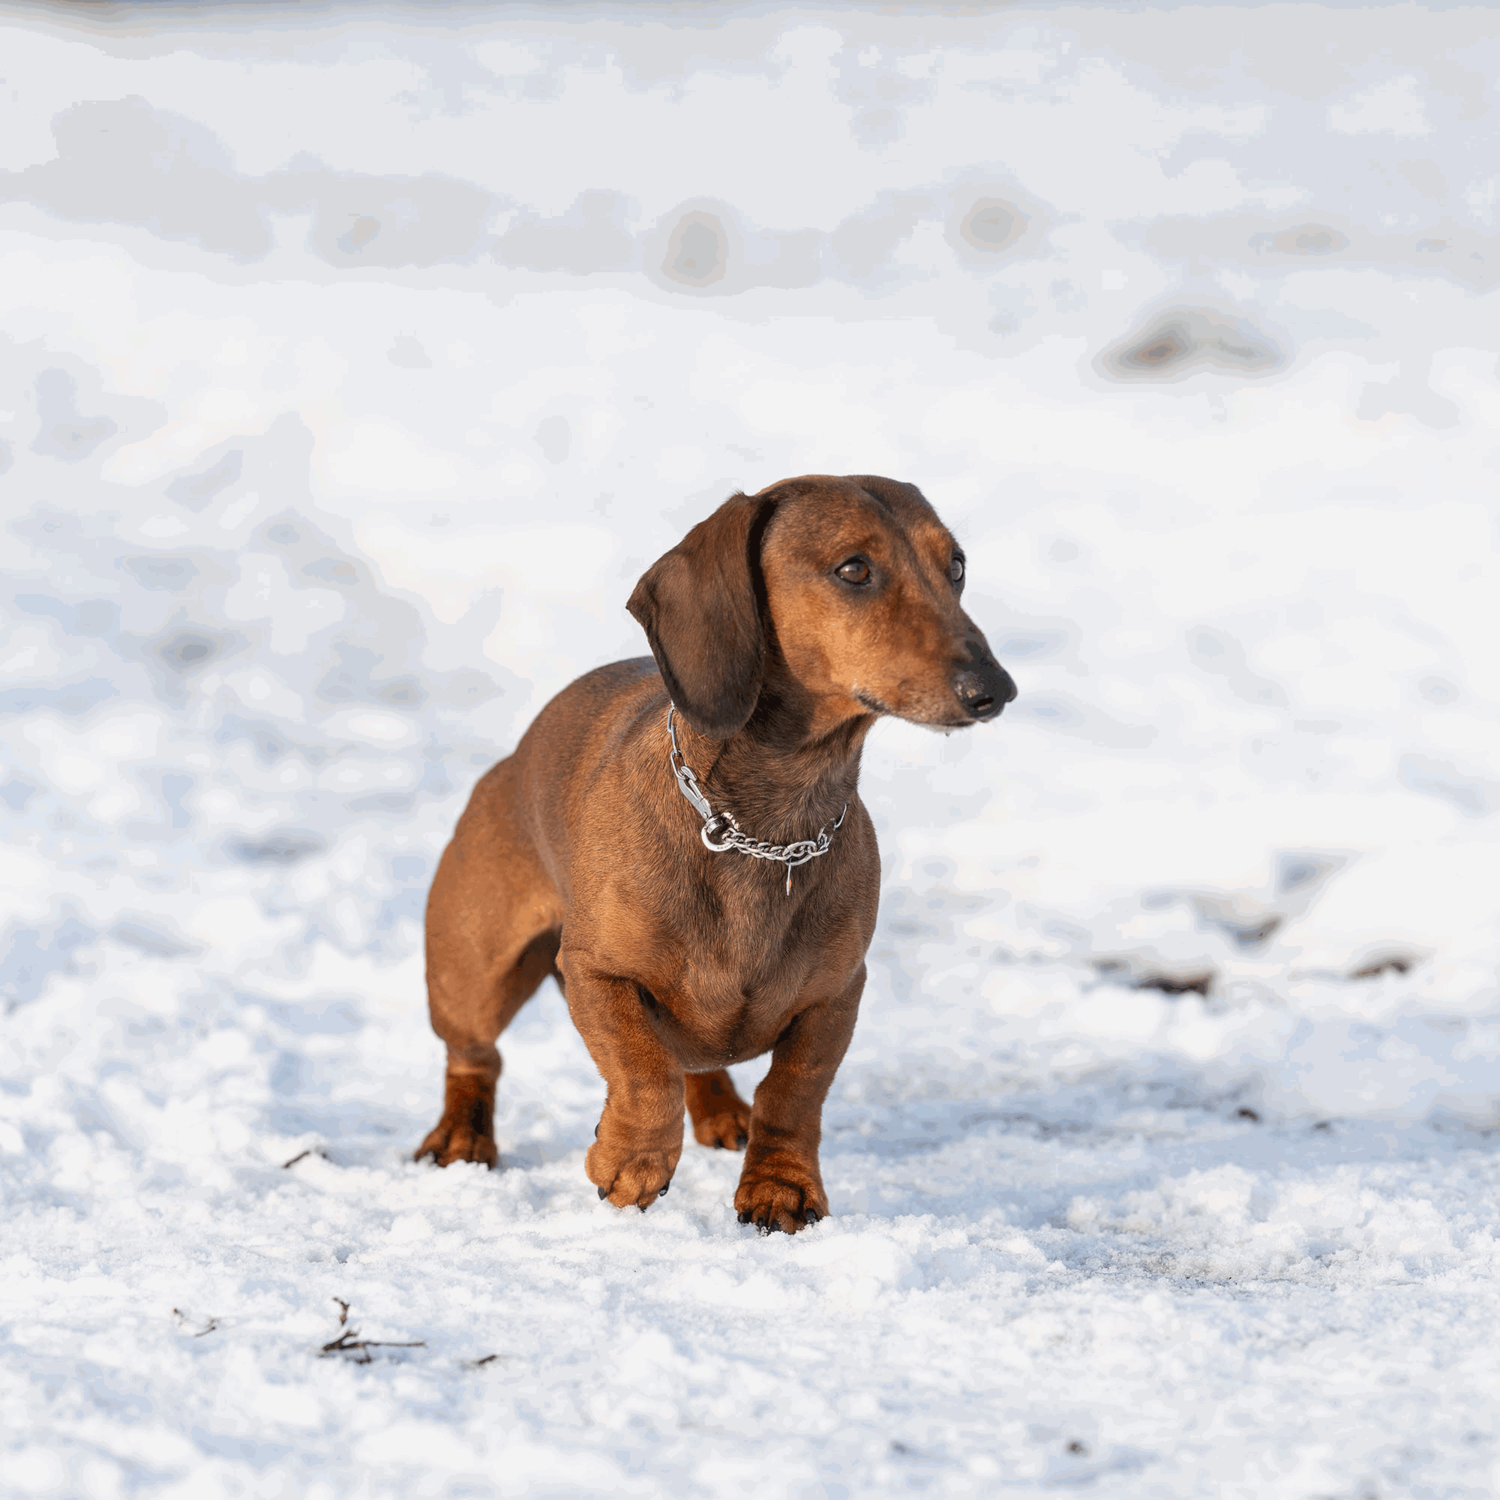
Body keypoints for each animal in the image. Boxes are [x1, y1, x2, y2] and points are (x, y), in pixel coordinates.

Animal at [417, 477, 1014, 1230]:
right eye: (854, 568)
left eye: (956, 566)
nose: (995, 689)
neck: (770, 827)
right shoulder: (594, 972)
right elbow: (643, 1073)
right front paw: (630, 1161)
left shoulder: (837, 995)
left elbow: (793, 1092)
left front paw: (780, 1188)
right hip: (473, 973)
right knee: (475, 1058)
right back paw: (461, 1137)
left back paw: (724, 1112)